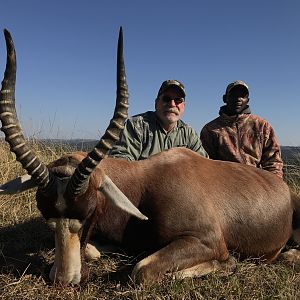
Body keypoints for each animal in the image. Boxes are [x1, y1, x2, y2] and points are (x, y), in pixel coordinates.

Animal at [0, 29, 300, 284]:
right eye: (46, 214)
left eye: (87, 212)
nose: (64, 279)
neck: (143, 185)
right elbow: (95, 251)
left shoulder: (207, 240)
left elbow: (141, 270)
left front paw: (228, 263)